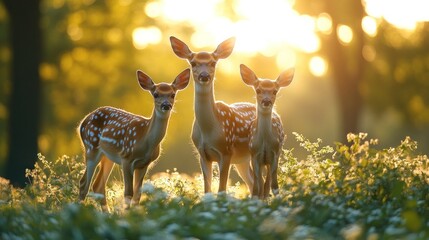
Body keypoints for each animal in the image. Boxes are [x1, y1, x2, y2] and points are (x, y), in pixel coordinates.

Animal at [77, 68, 191, 210]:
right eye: (155, 94)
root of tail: (82, 122)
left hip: (107, 156)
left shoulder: (144, 164)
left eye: (173, 94)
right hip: (90, 147)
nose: (166, 105)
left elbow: (138, 195)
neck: (146, 141)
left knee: (98, 185)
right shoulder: (126, 158)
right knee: (83, 183)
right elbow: (128, 193)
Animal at [168, 36, 254, 195]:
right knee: (253, 183)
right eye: (193, 62)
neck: (209, 131)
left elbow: (221, 189)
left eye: (213, 62)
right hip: (242, 160)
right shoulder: (202, 154)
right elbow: (207, 189)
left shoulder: (226, 152)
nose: (204, 75)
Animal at [237, 63, 294, 199]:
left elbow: (274, 185)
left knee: (267, 183)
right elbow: (256, 187)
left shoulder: (274, 154)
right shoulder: (254, 155)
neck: (264, 142)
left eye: (275, 91)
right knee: (261, 183)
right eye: (258, 90)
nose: (266, 101)